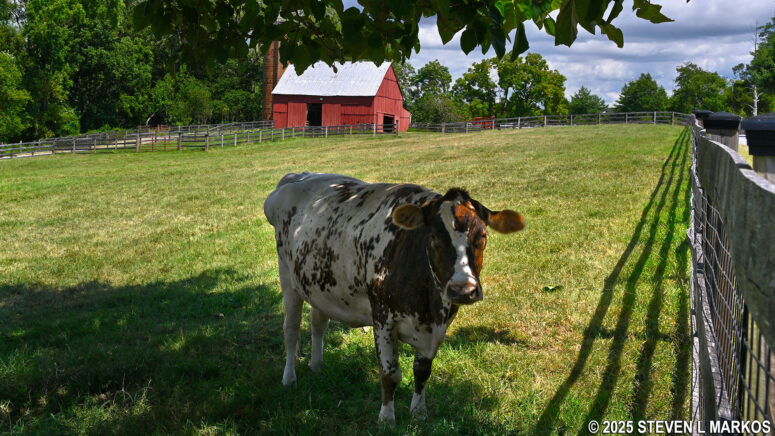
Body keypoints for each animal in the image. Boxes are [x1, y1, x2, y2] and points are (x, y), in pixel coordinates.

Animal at [263, 172, 525, 424]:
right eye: (433, 238)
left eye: (482, 236)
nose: (463, 289)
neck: (429, 306)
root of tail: (296, 177)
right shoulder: (383, 317)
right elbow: (390, 374)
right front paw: (387, 418)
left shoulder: (438, 325)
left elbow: (422, 371)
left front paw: (418, 411)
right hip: (287, 278)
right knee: (291, 331)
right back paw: (289, 378)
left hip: (317, 284)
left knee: (318, 323)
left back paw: (316, 365)